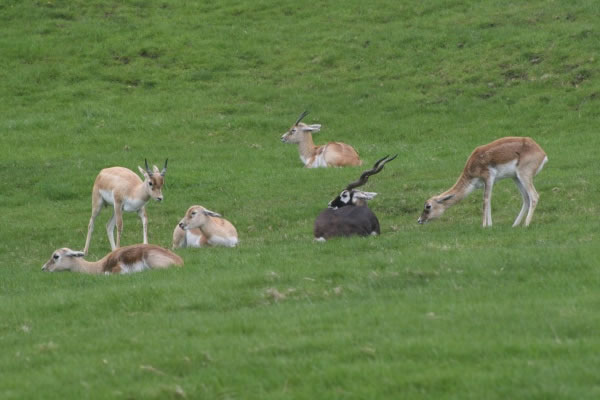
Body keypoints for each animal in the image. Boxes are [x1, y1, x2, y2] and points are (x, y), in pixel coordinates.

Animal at [418, 137, 548, 227]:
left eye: (428, 206)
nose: (419, 220)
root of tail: (542, 153)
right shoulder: (489, 182)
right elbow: (489, 200)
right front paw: (490, 225)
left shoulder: (488, 177)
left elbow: (485, 200)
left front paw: (484, 225)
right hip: (516, 178)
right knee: (526, 198)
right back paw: (514, 225)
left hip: (524, 175)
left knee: (534, 196)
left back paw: (526, 225)